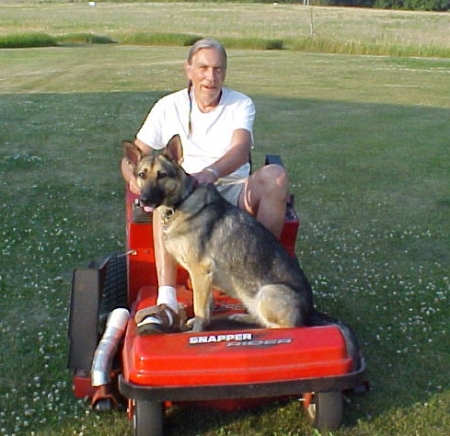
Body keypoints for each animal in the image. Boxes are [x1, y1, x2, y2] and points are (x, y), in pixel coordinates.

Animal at [121, 135, 314, 332]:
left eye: (162, 175)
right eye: (142, 175)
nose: (144, 200)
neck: (182, 201)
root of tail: (308, 315)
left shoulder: (200, 272)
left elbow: (200, 308)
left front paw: (196, 333)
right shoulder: (205, 276)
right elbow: (206, 307)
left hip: (267, 292)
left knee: (279, 327)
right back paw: (241, 317)